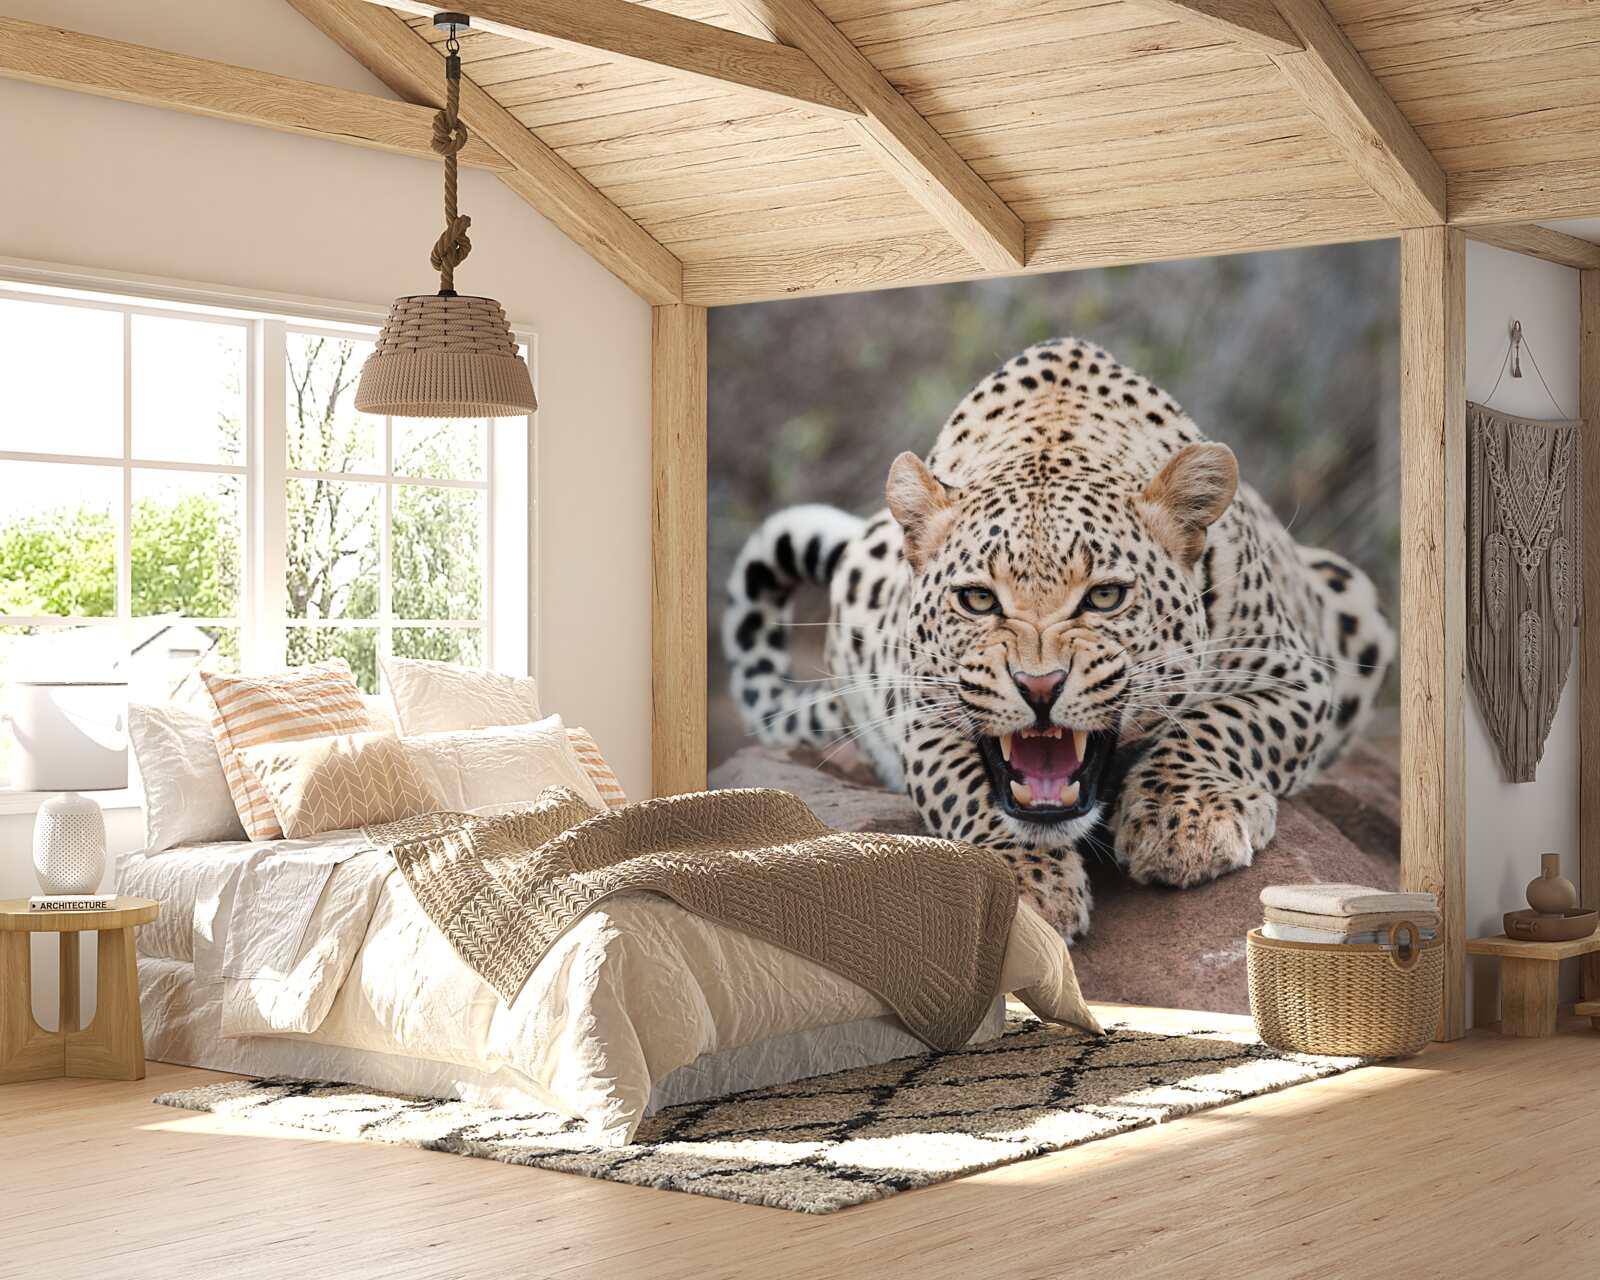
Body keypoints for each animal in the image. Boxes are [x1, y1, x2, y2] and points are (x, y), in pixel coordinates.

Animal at [720, 338, 1394, 938]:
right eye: (978, 599)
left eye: (1104, 597)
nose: (1039, 686)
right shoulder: (917, 707)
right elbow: (962, 784)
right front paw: (1023, 883)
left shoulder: (1295, 676)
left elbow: (1219, 724)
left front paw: (1184, 823)